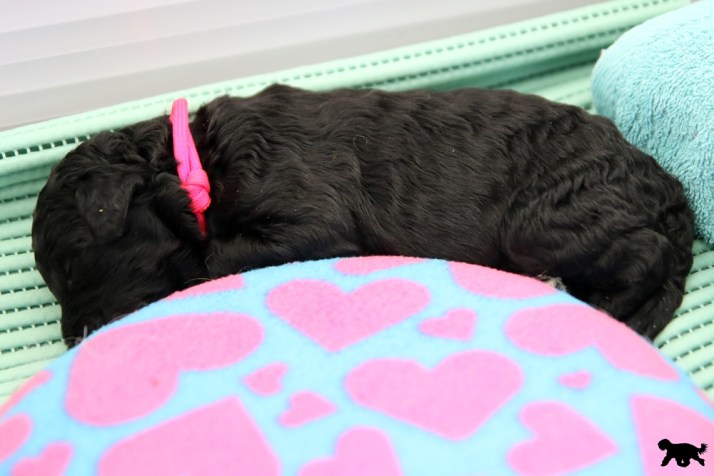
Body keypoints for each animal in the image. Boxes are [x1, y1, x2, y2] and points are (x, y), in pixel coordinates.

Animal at [32, 84, 695, 346]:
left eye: (74, 265)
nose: (73, 339)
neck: (193, 159)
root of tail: (664, 181)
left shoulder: (312, 216)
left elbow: (214, 254)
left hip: (545, 221)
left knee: (646, 253)